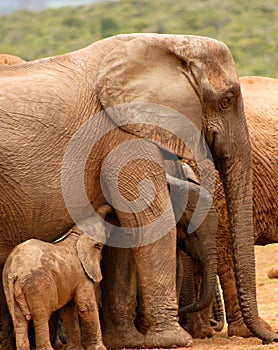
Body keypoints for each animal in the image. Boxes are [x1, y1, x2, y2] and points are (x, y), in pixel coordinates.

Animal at [2, 204, 112, 350]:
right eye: (100, 245)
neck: (76, 236)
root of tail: (14, 270)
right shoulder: (81, 275)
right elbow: (85, 306)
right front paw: (99, 348)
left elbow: (68, 310)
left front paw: (74, 349)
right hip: (37, 286)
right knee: (41, 316)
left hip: (8, 287)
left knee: (19, 320)